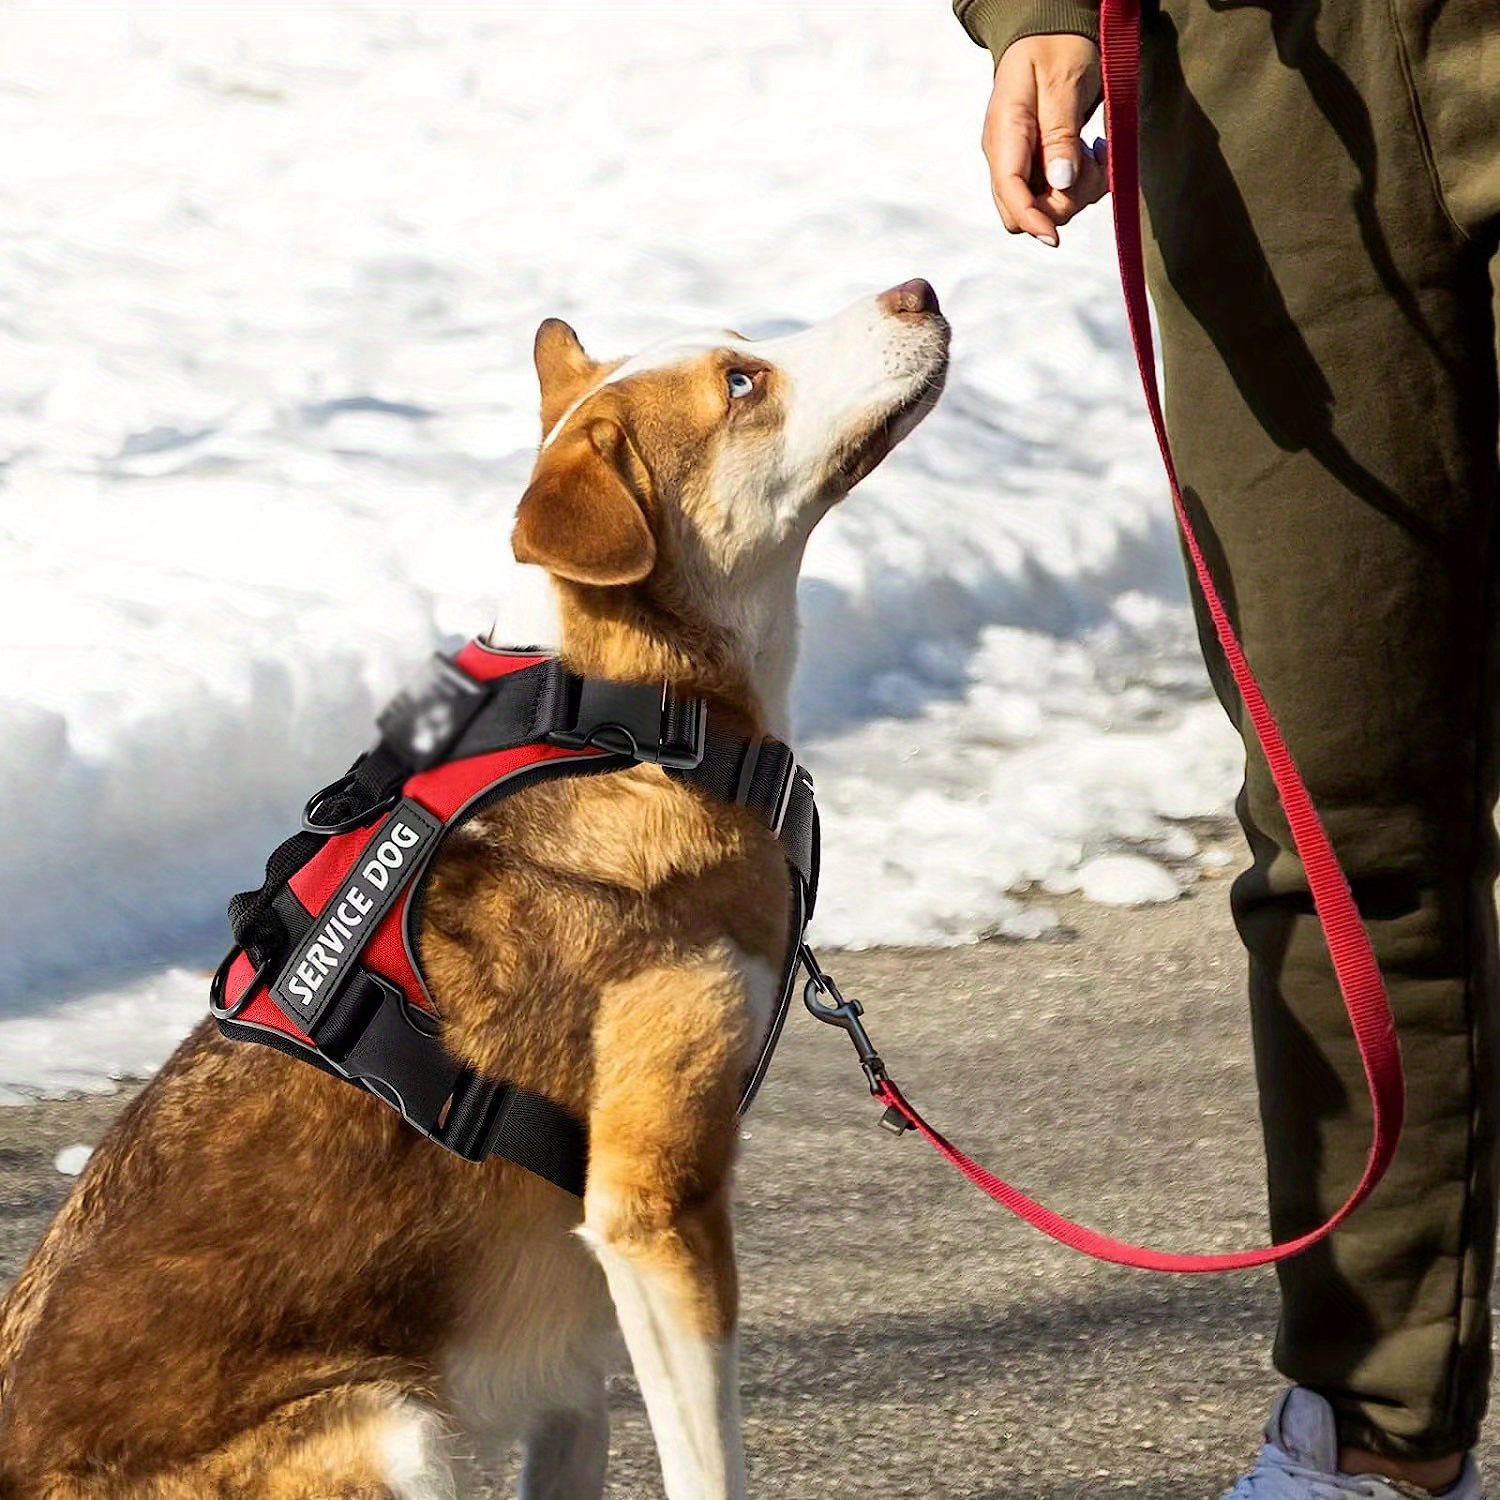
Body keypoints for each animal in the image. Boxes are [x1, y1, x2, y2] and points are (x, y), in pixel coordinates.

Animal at [0, 282, 948, 1500]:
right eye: (742, 384)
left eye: (742, 346)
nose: (917, 289)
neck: (624, 718)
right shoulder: (655, 1206)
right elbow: (709, 1468)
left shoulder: (576, 1357)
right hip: (392, 1425)